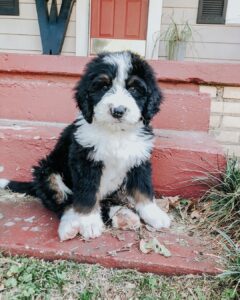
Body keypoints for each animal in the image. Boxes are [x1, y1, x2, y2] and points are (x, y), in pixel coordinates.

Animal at [0, 50, 172, 240]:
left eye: (134, 89)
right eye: (103, 87)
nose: (118, 111)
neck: (115, 133)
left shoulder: (139, 159)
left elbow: (144, 189)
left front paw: (154, 214)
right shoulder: (85, 161)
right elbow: (87, 194)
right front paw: (88, 222)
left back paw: (123, 215)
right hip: (47, 172)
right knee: (64, 202)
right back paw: (70, 225)